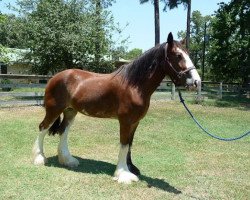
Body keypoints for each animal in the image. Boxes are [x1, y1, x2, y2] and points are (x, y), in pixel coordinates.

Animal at [32, 32, 201, 184]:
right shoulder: (125, 121)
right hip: (54, 110)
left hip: (70, 111)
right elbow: (124, 144)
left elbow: (130, 144)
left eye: (188, 54)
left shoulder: (135, 122)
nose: (196, 82)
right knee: (43, 127)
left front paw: (131, 168)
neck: (134, 85)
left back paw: (68, 160)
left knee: (63, 131)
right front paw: (123, 174)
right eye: (178, 55)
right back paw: (40, 158)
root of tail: (54, 77)